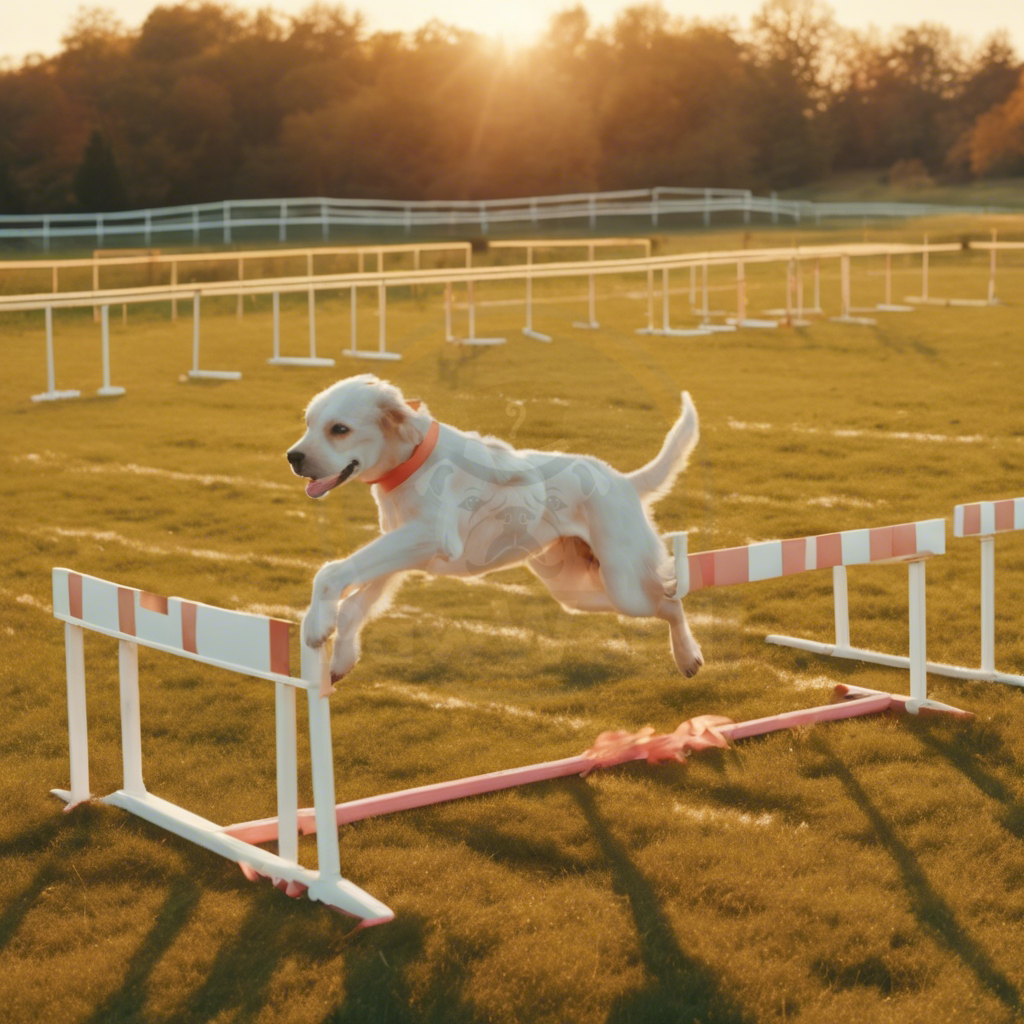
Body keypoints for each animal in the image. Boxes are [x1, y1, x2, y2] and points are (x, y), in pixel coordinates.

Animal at [288, 376, 704, 688]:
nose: (293, 457)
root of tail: (625, 482)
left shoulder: (430, 536)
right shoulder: (401, 551)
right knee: (664, 597)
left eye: (339, 429)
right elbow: (353, 605)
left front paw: (315, 626)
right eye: (307, 423)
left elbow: (331, 574)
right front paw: (340, 657)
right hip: (578, 590)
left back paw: (688, 657)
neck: (412, 462)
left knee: (672, 600)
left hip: (624, 585)